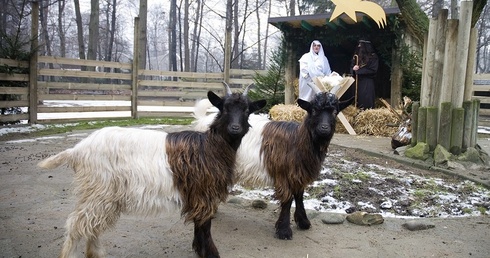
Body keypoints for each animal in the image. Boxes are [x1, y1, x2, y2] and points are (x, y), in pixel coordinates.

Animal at [38, 85, 268, 258]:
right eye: (225, 108)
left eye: (247, 110)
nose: (235, 128)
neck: (210, 147)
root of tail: (77, 150)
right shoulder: (204, 194)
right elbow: (205, 227)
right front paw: (211, 254)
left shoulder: (197, 195)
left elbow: (199, 225)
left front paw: (198, 249)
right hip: (97, 190)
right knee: (77, 224)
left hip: (103, 195)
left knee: (91, 224)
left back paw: (95, 253)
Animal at [193, 85, 350, 241]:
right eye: (314, 110)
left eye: (335, 112)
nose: (324, 128)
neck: (296, 140)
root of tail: (203, 120)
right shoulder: (283, 174)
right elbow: (288, 200)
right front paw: (284, 231)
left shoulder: (298, 174)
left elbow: (299, 196)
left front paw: (303, 222)